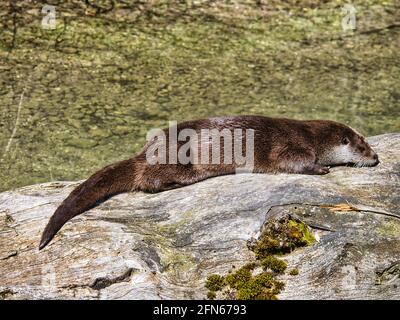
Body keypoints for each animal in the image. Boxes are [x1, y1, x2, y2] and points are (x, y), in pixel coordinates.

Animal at [39, 115, 380, 250]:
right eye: (363, 147)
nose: (376, 158)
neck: (313, 137)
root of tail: (147, 151)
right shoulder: (293, 146)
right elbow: (292, 163)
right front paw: (320, 169)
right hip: (178, 162)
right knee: (149, 181)